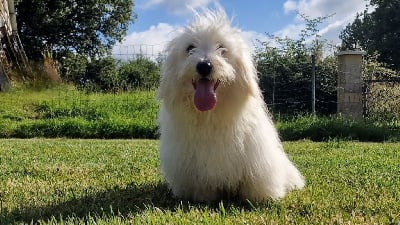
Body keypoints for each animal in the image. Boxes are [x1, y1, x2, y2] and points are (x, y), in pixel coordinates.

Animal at [158, 8, 304, 202]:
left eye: (222, 48)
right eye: (190, 48)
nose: (204, 65)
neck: (210, 116)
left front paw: (260, 197)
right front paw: (204, 197)